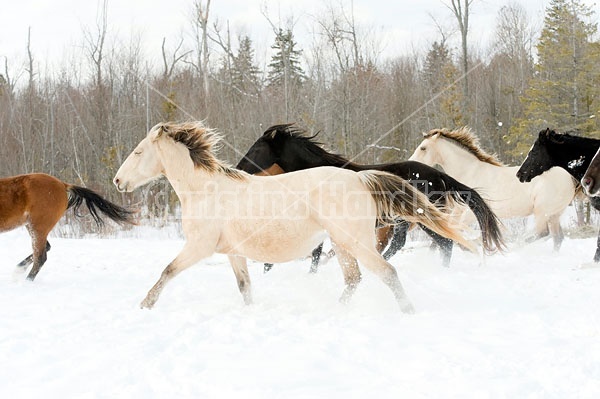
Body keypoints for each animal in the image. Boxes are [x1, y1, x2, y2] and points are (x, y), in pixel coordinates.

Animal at [0, 174, 135, 282]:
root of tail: (62, 184)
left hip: (38, 227)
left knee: (40, 257)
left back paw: (26, 281)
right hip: (33, 226)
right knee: (45, 250)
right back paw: (18, 271)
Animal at [113, 122, 474, 312]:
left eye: (138, 152)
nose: (118, 181)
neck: (205, 189)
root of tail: (362, 179)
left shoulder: (199, 247)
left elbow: (167, 271)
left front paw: (144, 305)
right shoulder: (233, 253)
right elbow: (245, 287)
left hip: (358, 242)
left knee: (388, 271)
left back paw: (407, 311)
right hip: (344, 244)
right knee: (354, 279)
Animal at [237, 123, 504, 272]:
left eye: (257, 148)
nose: (239, 167)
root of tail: (439, 174)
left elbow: (314, 254)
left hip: (420, 220)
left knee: (444, 244)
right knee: (426, 244)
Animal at [408, 128, 576, 250]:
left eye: (423, 148)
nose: (410, 163)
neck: (468, 172)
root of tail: (570, 178)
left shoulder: (470, 212)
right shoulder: (457, 210)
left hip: (542, 211)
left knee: (542, 233)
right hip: (554, 214)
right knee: (557, 238)